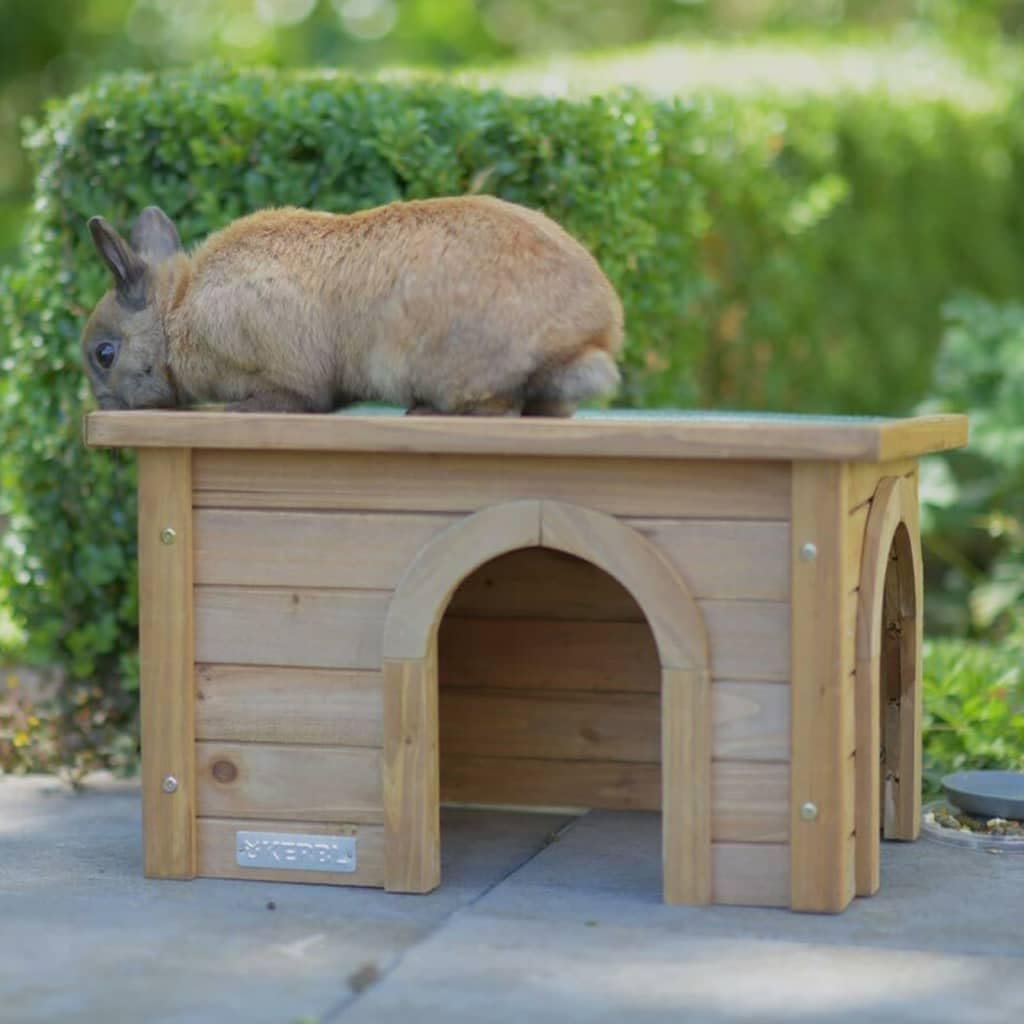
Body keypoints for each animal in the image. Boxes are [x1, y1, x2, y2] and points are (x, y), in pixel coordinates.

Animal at [81, 193, 622, 413]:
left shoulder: (284, 368)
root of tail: (590, 336)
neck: (176, 315)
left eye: (104, 354)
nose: (103, 405)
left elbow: (301, 398)